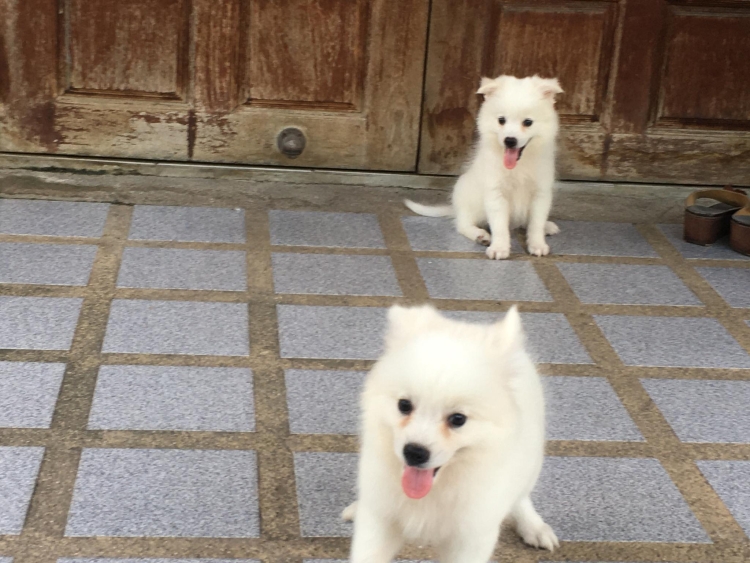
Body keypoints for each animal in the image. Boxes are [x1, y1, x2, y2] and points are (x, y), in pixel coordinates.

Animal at [344, 304, 558, 562]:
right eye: (404, 405)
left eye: (458, 419)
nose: (414, 452)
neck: (434, 490)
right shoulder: (379, 521)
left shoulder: (470, 537)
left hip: (531, 461)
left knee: (521, 496)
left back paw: (534, 527)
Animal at [405, 75, 563, 259]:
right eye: (501, 120)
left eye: (528, 122)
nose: (510, 140)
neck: (518, 166)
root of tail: (454, 208)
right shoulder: (495, 193)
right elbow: (499, 226)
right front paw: (499, 248)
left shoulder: (540, 193)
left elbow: (536, 224)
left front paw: (537, 244)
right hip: (469, 201)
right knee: (462, 224)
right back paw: (479, 235)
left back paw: (547, 226)